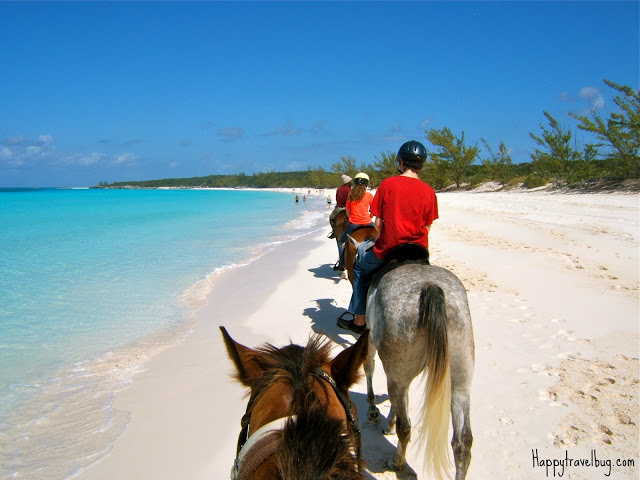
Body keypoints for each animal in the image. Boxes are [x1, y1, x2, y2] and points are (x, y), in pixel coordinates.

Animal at [362, 262, 472, 480]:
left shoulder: (369, 337)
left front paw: (373, 410)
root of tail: (431, 287)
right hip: (460, 380)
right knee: (463, 442)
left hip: (398, 373)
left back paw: (397, 461)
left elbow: (369, 366)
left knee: (405, 427)